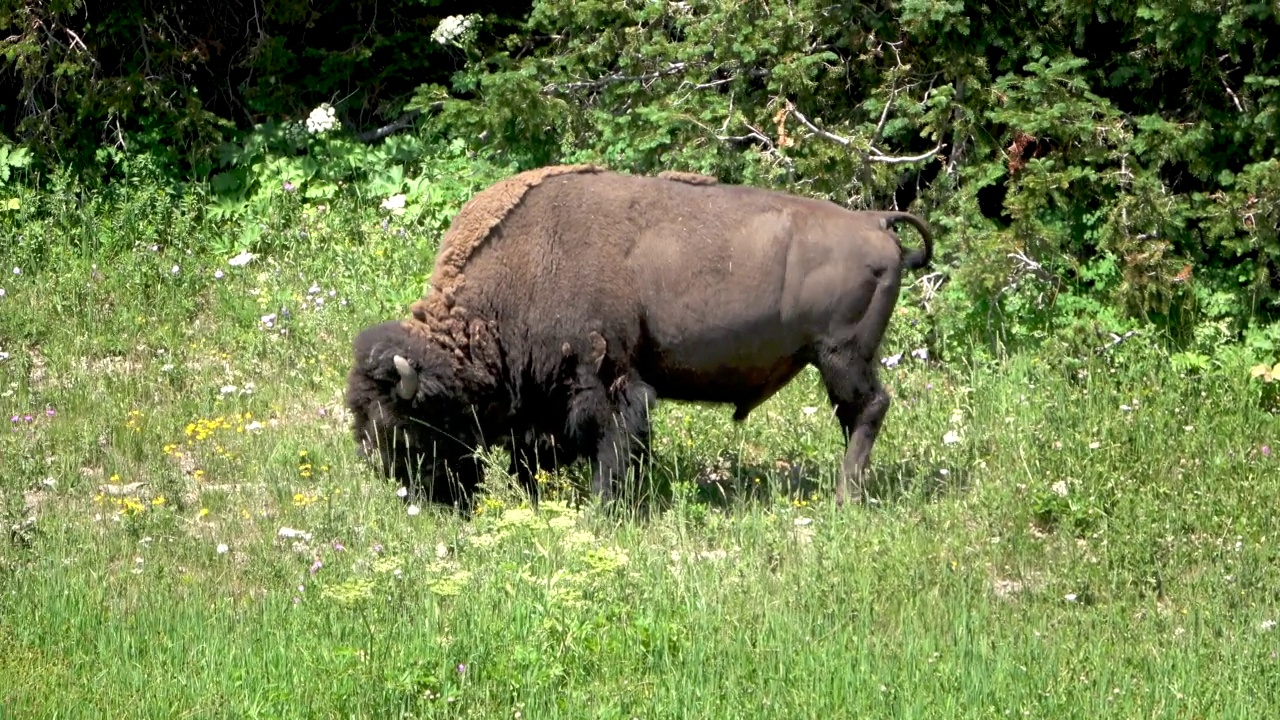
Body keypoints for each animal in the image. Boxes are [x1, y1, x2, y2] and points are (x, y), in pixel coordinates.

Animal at [345, 163, 936, 509]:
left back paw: (845, 497)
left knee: (868, 409)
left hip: (841, 357)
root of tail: (876, 223)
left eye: (404, 429)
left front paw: (605, 507)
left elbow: (613, 445)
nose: (419, 500)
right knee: (857, 414)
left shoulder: (607, 382)